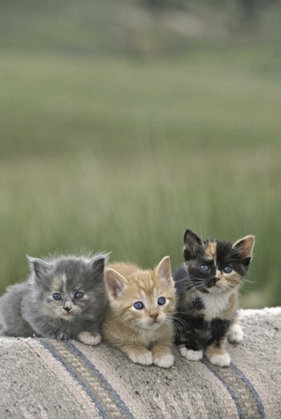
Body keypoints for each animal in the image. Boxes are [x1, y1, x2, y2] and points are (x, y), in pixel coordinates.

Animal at [173, 231, 254, 366]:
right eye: (204, 267)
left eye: (228, 269)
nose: (215, 278)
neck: (213, 297)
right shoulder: (184, 314)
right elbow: (188, 331)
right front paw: (192, 349)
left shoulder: (223, 318)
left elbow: (219, 335)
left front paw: (218, 354)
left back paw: (235, 331)